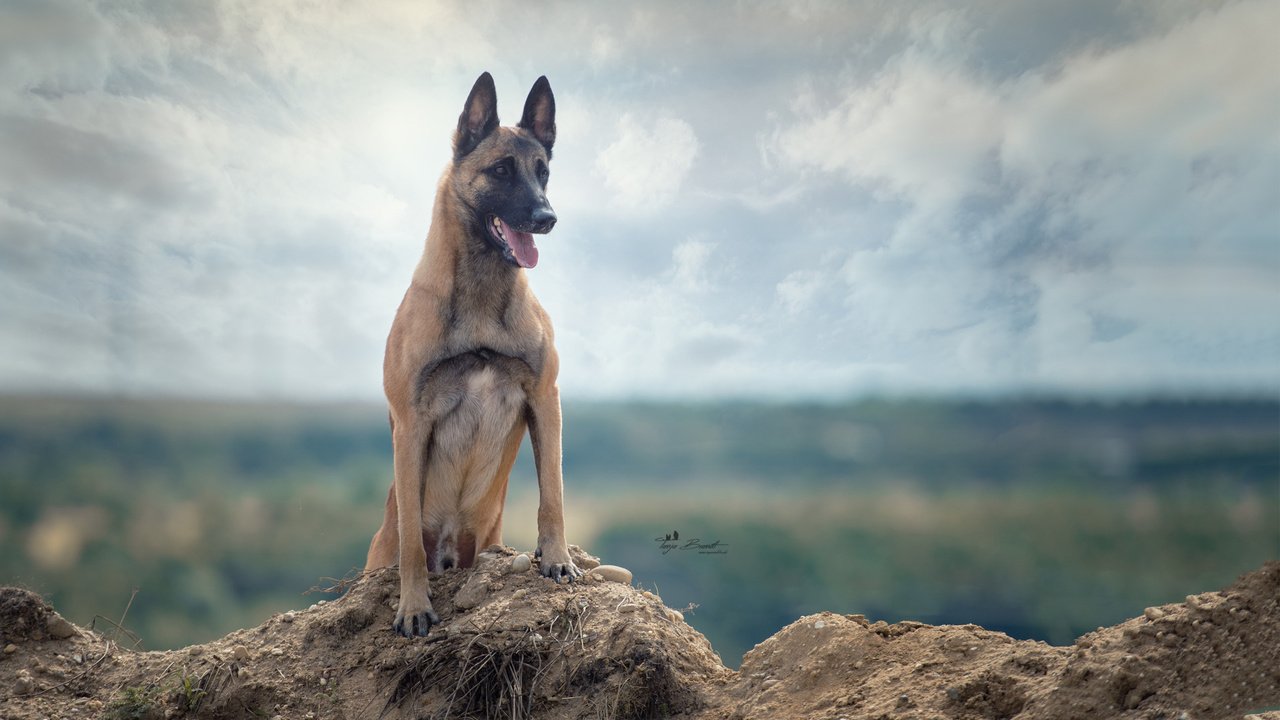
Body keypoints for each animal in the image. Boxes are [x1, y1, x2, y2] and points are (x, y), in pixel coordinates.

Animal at [360, 71, 581, 632]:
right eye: (501, 170)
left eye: (543, 173)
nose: (547, 217)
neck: (482, 295)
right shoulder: (411, 421)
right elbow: (411, 545)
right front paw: (414, 605)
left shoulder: (545, 399)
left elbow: (553, 496)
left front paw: (557, 559)